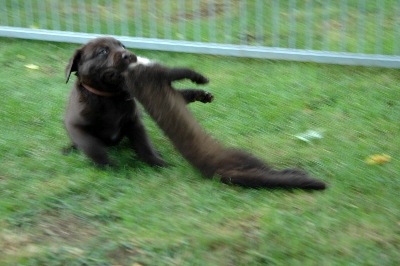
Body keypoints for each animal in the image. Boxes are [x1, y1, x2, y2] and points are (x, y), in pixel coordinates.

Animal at [63, 37, 212, 166]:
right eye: (102, 51)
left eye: (123, 46)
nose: (128, 55)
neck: (109, 97)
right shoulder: (77, 127)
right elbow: (93, 148)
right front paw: (108, 166)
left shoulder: (134, 121)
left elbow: (144, 145)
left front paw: (157, 163)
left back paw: (202, 94)